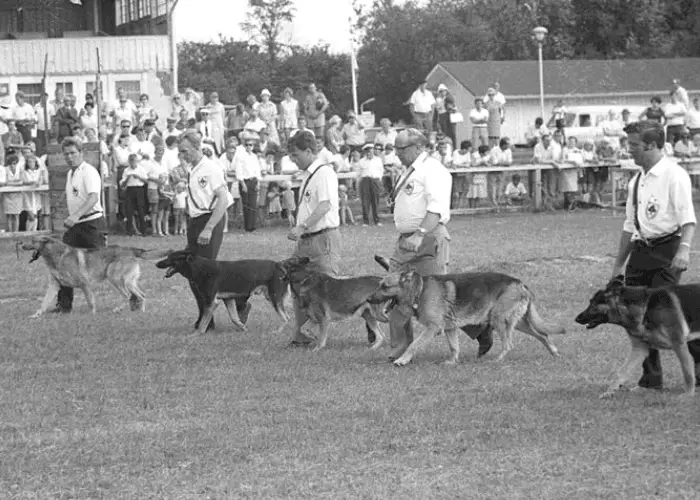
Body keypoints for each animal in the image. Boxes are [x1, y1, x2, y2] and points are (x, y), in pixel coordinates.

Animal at [21, 235, 170, 316]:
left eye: (32, 240)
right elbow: (44, 303)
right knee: (141, 295)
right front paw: (36, 315)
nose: (21, 244)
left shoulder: (84, 284)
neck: (56, 256)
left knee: (127, 296)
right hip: (129, 282)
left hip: (115, 279)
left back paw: (118, 309)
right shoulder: (54, 286)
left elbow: (90, 302)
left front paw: (92, 315)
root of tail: (132, 249)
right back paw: (141, 312)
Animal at [155, 250, 292, 336]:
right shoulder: (228, 299)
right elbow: (235, 319)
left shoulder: (211, 302)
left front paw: (195, 335)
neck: (199, 267)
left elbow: (202, 323)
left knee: (286, 318)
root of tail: (278, 264)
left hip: (274, 298)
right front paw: (245, 330)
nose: (156, 263)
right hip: (271, 297)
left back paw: (278, 332)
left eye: (170, 258)